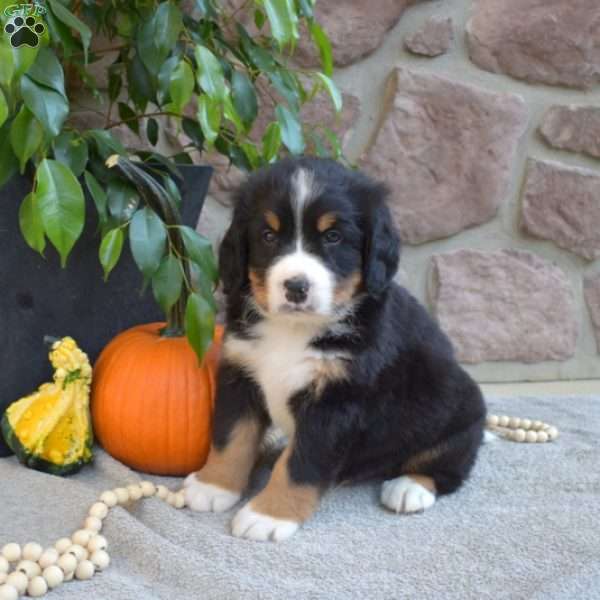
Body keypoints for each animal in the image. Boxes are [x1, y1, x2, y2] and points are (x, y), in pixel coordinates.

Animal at [184, 157, 488, 540]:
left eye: (333, 237)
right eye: (268, 236)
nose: (296, 286)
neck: (294, 330)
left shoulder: (335, 402)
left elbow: (300, 464)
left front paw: (268, 515)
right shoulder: (241, 372)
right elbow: (231, 437)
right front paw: (213, 486)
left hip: (457, 410)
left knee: (450, 467)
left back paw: (409, 487)